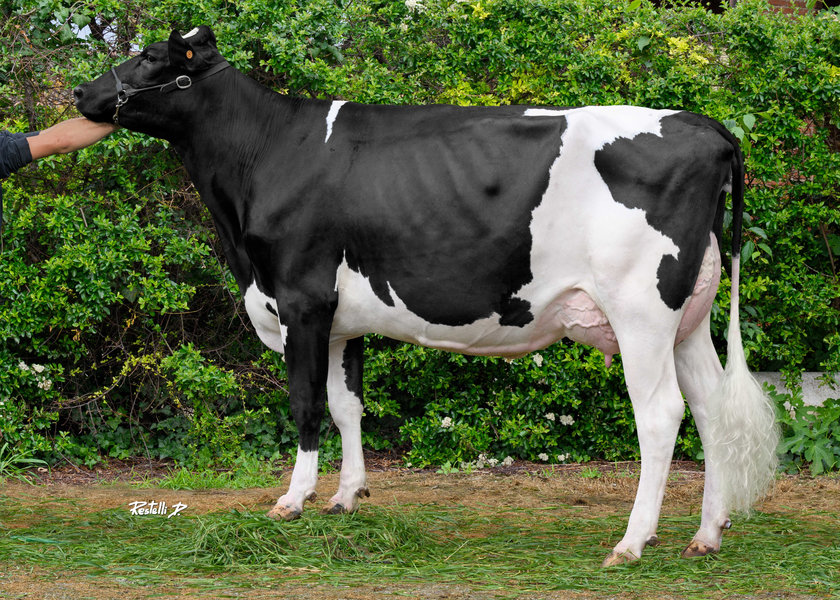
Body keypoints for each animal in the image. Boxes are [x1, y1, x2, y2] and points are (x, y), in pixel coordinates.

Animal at [74, 26, 779, 566]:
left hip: (641, 312)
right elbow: (347, 406)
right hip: (689, 318)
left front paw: (293, 500)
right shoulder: (341, 322)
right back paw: (706, 534)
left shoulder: (300, 300)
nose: (83, 92)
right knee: (711, 410)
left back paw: (631, 543)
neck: (263, 158)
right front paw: (346, 496)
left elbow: (306, 405)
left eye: (150, 58)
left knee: (661, 415)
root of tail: (706, 126)